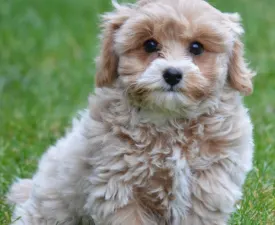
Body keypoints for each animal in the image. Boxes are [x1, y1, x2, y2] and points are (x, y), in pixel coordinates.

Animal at [7, 0, 256, 225]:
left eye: (197, 48)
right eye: (150, 45)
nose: (172, 74)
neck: (170, 121)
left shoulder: (208, 188)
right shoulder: (119, 188)